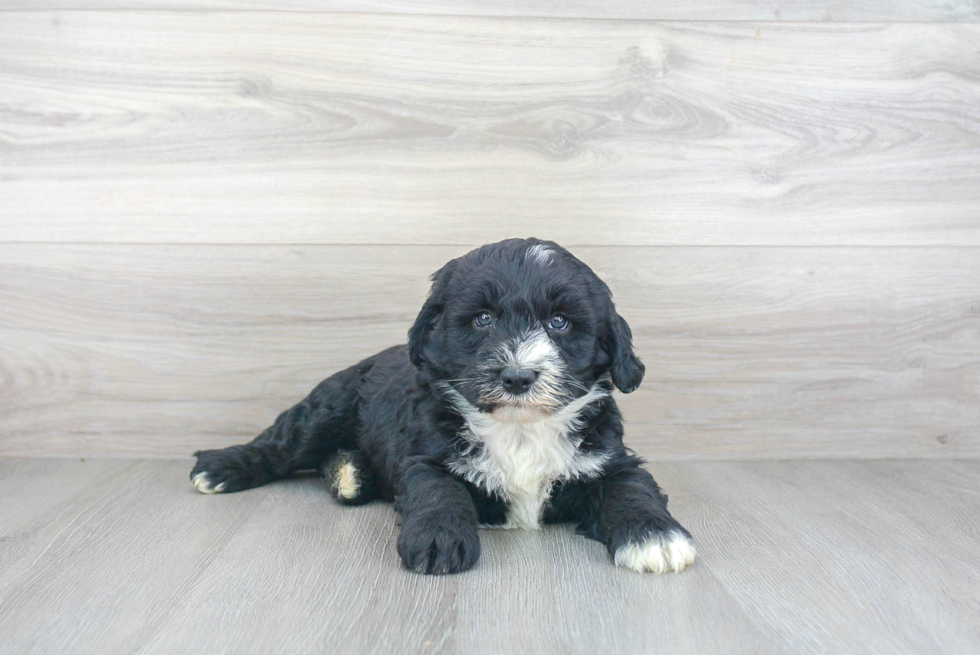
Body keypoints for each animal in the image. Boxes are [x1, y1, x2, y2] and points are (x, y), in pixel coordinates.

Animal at [193, 237, 696, 576]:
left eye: (559, 322)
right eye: (482, 318)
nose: (517, 376)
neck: (519, 428)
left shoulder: (607, 457)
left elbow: (632, 486)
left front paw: (656, 536)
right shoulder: (426, 455)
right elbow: (438, 490)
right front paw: (439, 537)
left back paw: (349, 473)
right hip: (328, 406)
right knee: (283, 444)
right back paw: (223, 466)